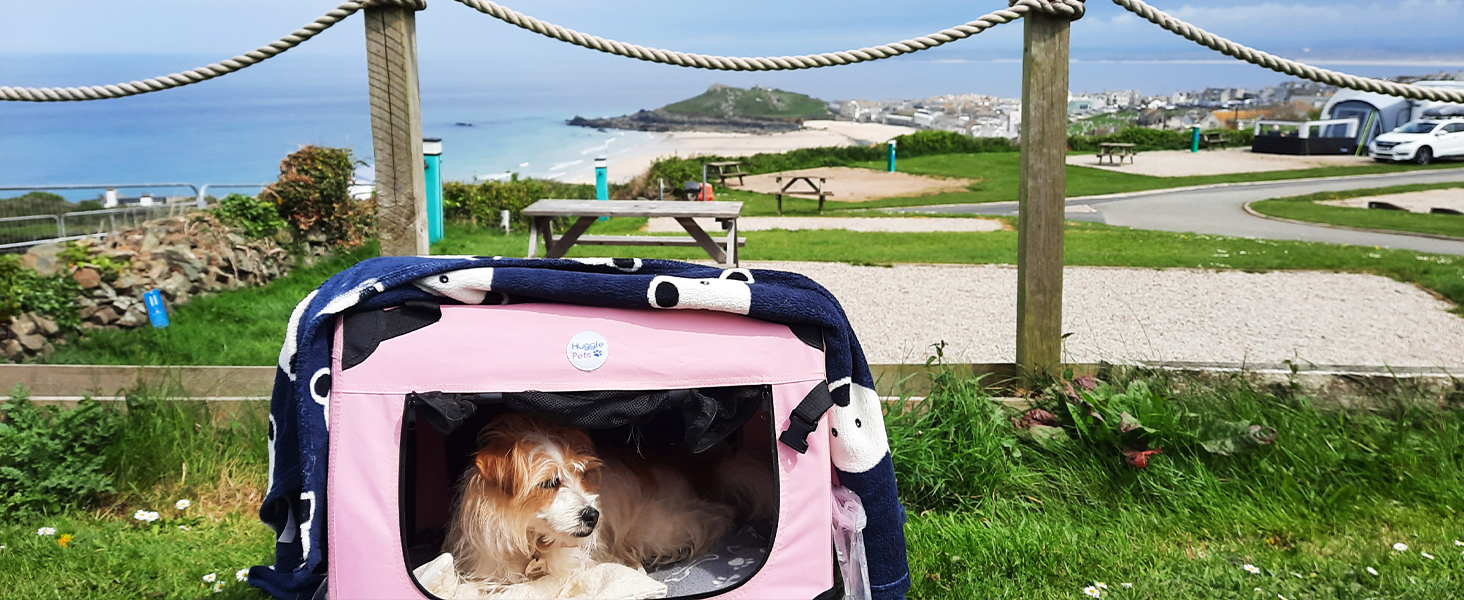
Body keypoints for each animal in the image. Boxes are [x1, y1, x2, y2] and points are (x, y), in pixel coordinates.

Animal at [442, 412, 767, 585]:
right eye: (550, 483)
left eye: (583, 475)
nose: (593, 515)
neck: (532, 541)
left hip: (660, 526)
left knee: (717, 516)